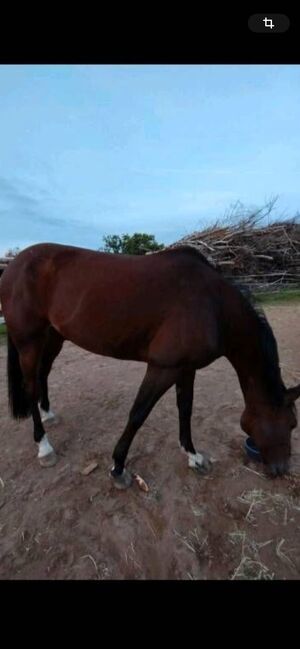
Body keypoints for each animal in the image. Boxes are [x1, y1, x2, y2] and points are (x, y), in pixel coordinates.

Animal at [0, 243, 300, 486]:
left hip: (53, 336)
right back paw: (44, 447)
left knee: (43, 374)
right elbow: (138, 414)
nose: (281, 469)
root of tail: (14, 264)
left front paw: (193, 456)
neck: (213, 306)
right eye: (291, 424)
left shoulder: (186, 368)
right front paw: (118, 468)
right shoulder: (163, 368)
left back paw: (49, 413)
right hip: (28, 341)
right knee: (30, 386)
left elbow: (185, 408)